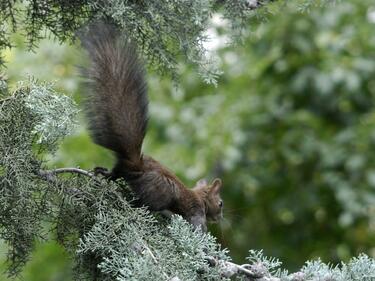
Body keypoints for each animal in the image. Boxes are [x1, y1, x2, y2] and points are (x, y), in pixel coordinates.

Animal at [79, 22, 223, 232]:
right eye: (220, 203)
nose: (220, 219)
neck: (200, 197)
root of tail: (135, 164)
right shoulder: (196, 210)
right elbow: (197, 224)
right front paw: (203, 236)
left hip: (127, 173)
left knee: (115, 173)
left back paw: (104, 173)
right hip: (160, 192)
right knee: (142, 202)